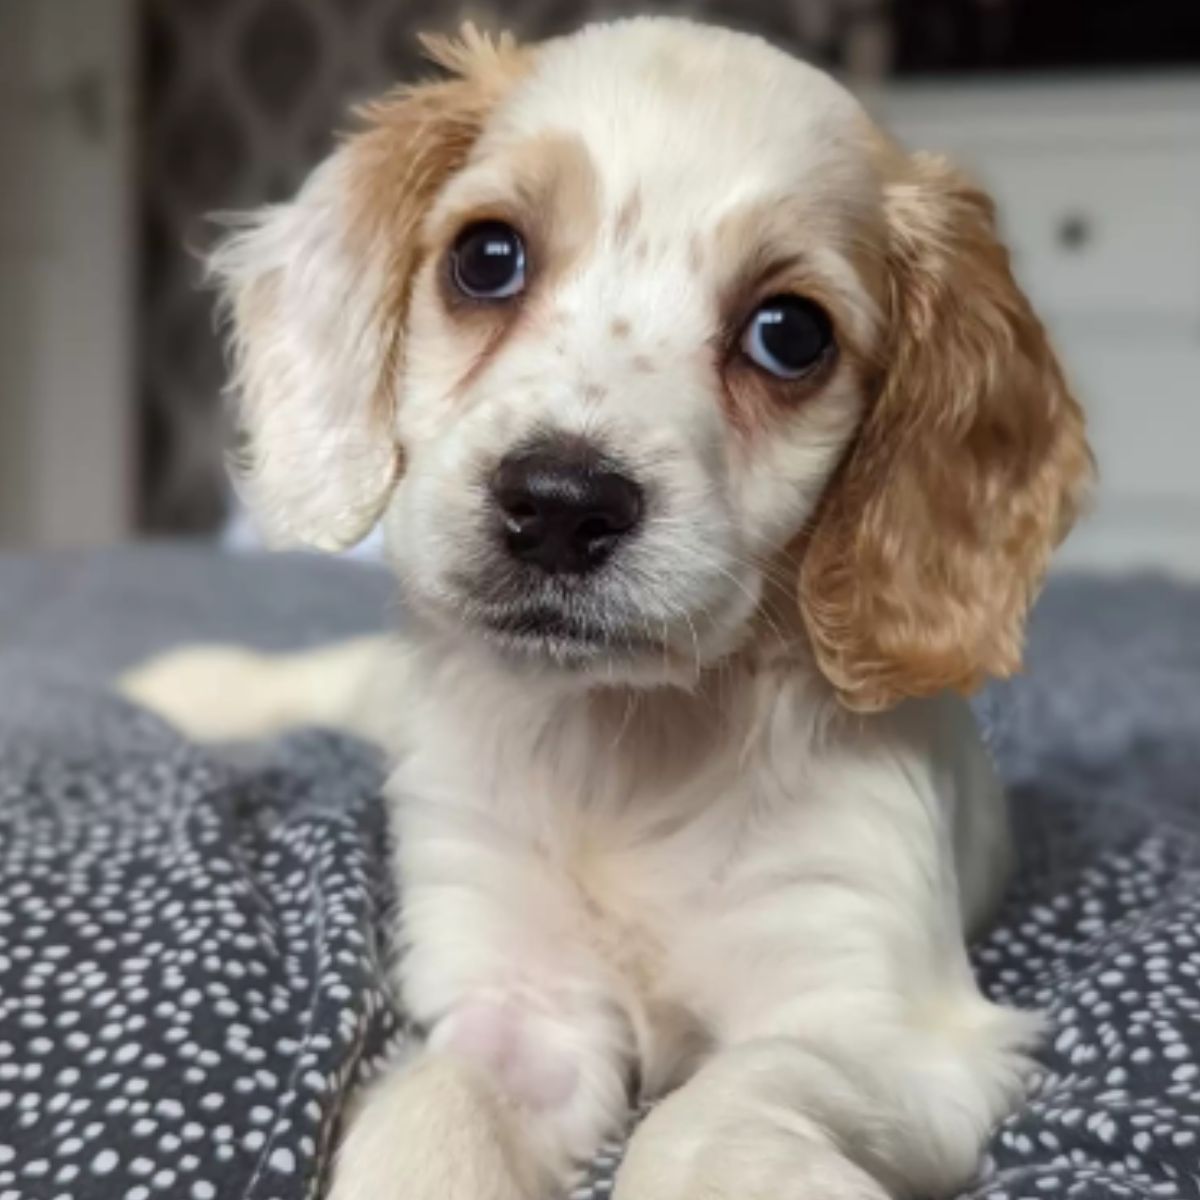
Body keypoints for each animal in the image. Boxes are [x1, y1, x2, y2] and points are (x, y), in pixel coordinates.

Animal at [126, 18, 1094, 1200]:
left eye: (789, 333)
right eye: (487, 258)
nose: (558, 504)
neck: (630, 752)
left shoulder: (888, 1026)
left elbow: (707, 1110)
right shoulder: (519, 1009)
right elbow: (432, 1113)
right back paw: (181, 687)